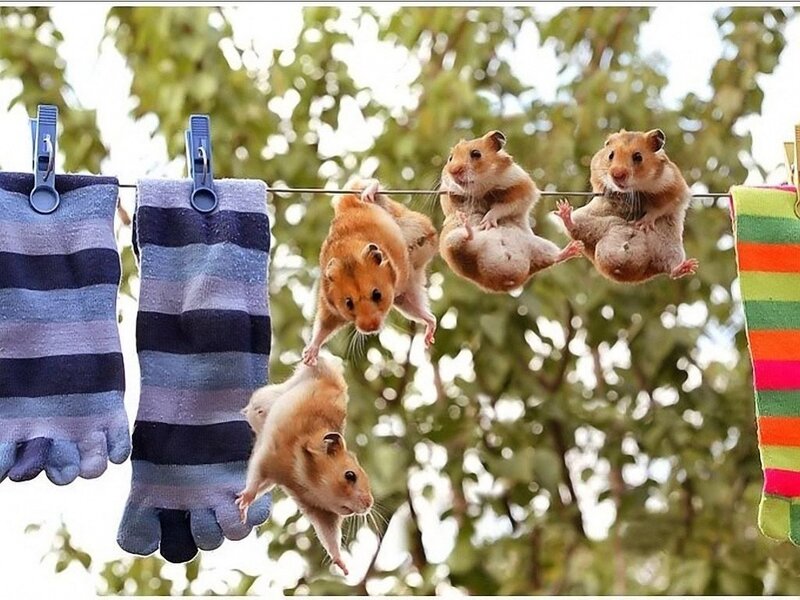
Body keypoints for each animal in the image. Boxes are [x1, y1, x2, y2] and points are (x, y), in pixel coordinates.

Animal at [236, 354, 373, 576]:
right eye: (350, 475)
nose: (369, 505)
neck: (308, 479)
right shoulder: (267, 457)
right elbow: (254, 479)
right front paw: (243, 505)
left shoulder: (320, 512)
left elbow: (331, 539)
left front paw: (344, 569)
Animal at [301, 177, 437, 365]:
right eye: (348, 303)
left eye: (377, 294)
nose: (370, 329)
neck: (347, 256)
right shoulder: (330, 309)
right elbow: (323, 328)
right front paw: (307, 358)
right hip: (406, 293)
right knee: (425, 313)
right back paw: (429, 335)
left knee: (369, 183)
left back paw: (369, 194)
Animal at [439, 130, 583, 293]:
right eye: (450, 158)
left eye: (476, 154)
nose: (453, 171)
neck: (482, 187)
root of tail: (507, 280)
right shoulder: (447, 196)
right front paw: (479, 219)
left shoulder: (523, 188)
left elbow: (502, 207)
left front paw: (487, 222)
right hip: (452, 245)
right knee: (465, 240)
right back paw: (466, 223)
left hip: (540, 246)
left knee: (555, 257)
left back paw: (571, 234)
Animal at [555, 129, 698, 283]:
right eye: (611, 155)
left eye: (638, 157)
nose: (617, 175)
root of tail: (621, 271)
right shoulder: (596, 168)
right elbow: (600, 185)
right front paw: (610, 192)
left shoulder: (676, 187)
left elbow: (659, 208)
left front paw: (642, 224)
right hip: (588, 222)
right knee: (574, 227)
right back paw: (564, 211)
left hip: (670, 247)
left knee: (671, 269)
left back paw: (688, 266)